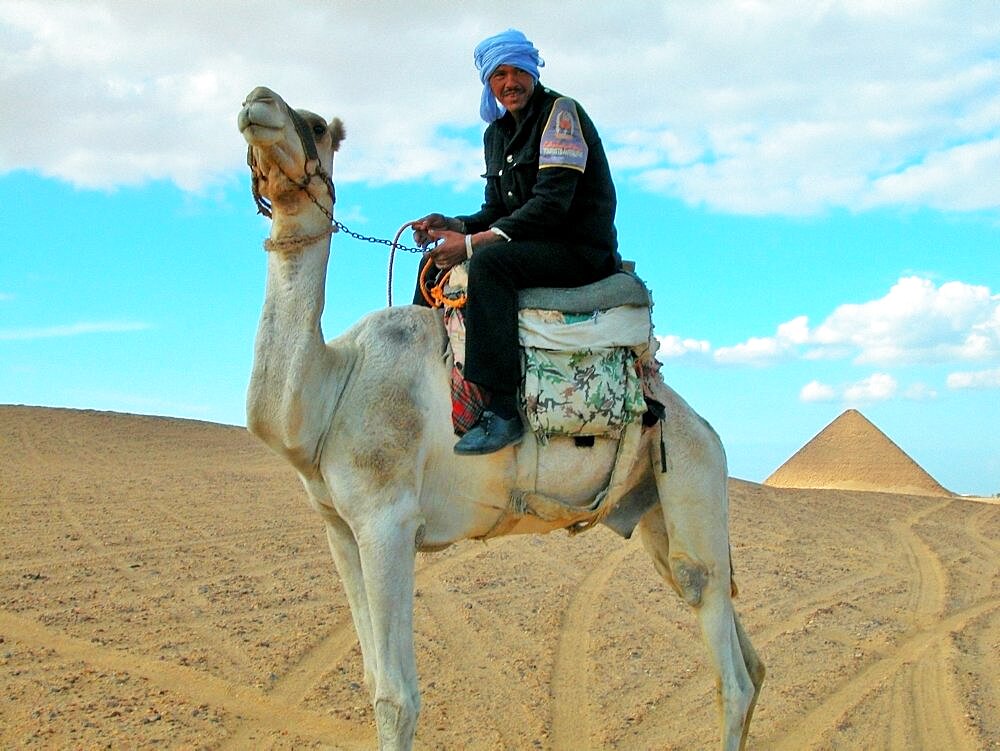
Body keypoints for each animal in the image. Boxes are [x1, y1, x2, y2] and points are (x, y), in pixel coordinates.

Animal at [238, 85, 760, 748]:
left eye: (316, 126)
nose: (258, 101)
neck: (336, 384)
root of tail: (706, 429)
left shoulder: (388, 521)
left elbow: (396, 698)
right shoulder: (340, 527)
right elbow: (370, 676)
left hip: (693, 476)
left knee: (723, 647)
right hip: (653, 512)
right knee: (744, 649)